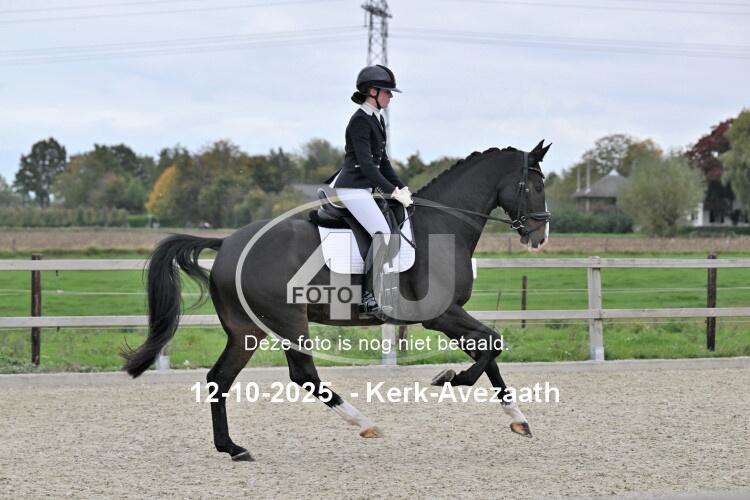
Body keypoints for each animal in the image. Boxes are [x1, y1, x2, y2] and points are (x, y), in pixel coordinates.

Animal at [122, 140, 551, 462]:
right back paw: (364, 423)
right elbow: (491, 345)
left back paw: (232, 448)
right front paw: (449, 378)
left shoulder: (449, 314)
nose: (540, 236)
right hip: (288, 320)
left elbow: (488, 349)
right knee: (303, 375)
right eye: (535, 186)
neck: (442, 227)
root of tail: (226, 243)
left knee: (220, 379)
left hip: (246, 330)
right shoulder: (441, 314)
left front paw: (518, 419)